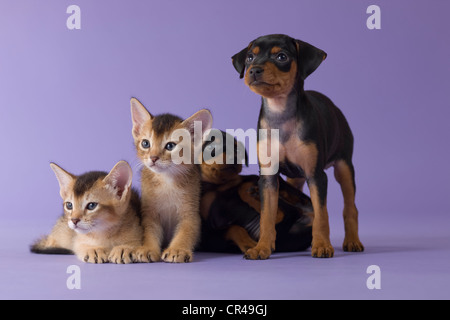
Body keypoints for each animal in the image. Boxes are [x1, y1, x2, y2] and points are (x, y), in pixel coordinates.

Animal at [131, 99, 214, 264]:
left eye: (170, 146)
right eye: (145, 143)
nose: (153, 158)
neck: (167, 181)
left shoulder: (190, 212)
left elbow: (186, 231)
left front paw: (177, 249)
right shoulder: (150, 213)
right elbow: (149, 231)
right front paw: (147, 249)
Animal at [234, 34, 364, 260]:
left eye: (281, 56)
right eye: (250, 57)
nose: (254, 70)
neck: (280, 113)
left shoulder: (316, 175)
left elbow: (321, 214)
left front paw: (322, 245)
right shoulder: (268, 177)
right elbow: (267, 215)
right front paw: (262, 247)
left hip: (344, 167)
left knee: (350, 207)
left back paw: (352, 241)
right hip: (295, 178)